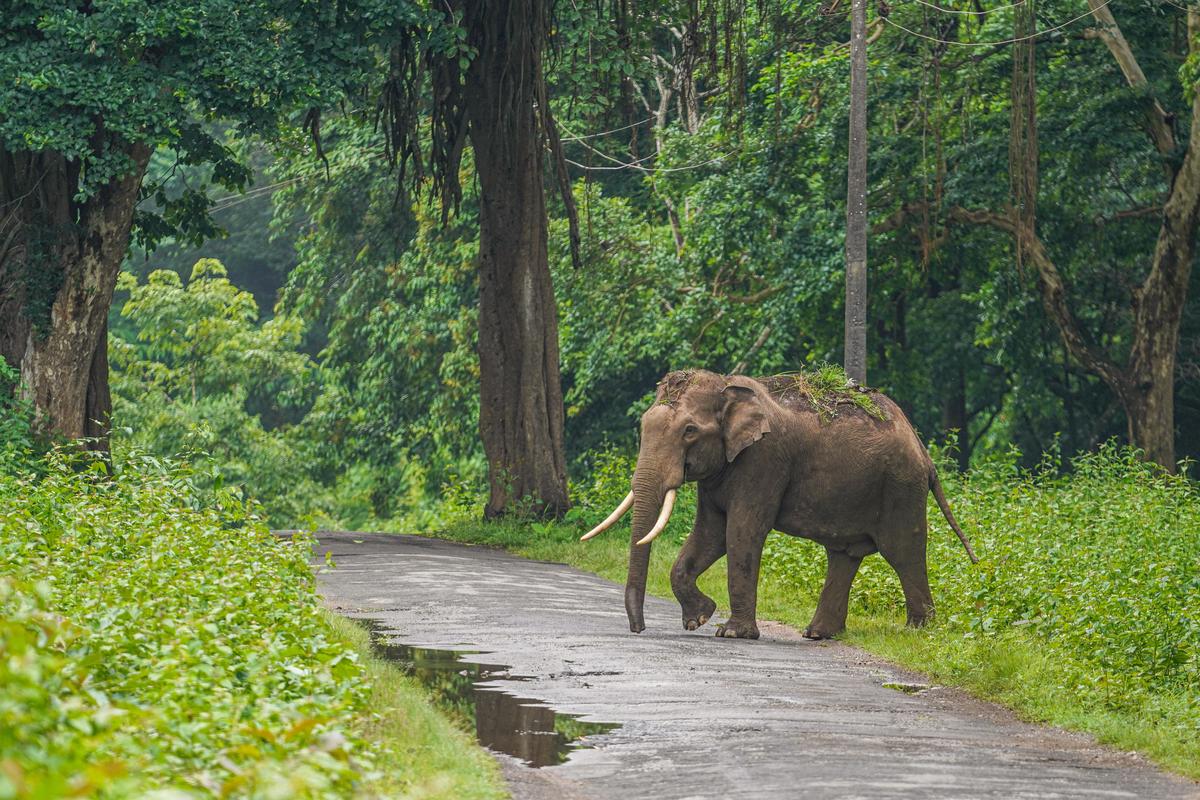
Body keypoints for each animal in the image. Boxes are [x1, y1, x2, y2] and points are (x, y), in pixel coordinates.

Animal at [581, 369, 977, 639]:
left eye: (689, 431)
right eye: (643, 425)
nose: (639, 630)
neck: (727, 386)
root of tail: (922, 449)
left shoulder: (764, 460)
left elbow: (741, 532)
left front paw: (731, 633)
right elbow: (710, 535)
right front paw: (701, 618)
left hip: (900, 487)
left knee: (903, 551)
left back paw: (918, 631)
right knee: (844, 554)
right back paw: (817, 634)